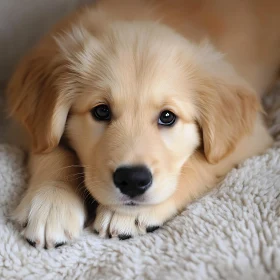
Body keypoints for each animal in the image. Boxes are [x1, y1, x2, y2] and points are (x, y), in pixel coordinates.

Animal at [5, 0, 278, 249]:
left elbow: (199, 164)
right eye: (101, 111)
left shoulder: (250, 138)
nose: (133, 180)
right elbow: (49, 149)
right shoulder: (25, 129)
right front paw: (51, 202)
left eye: (167, 117)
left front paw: (130, 213)